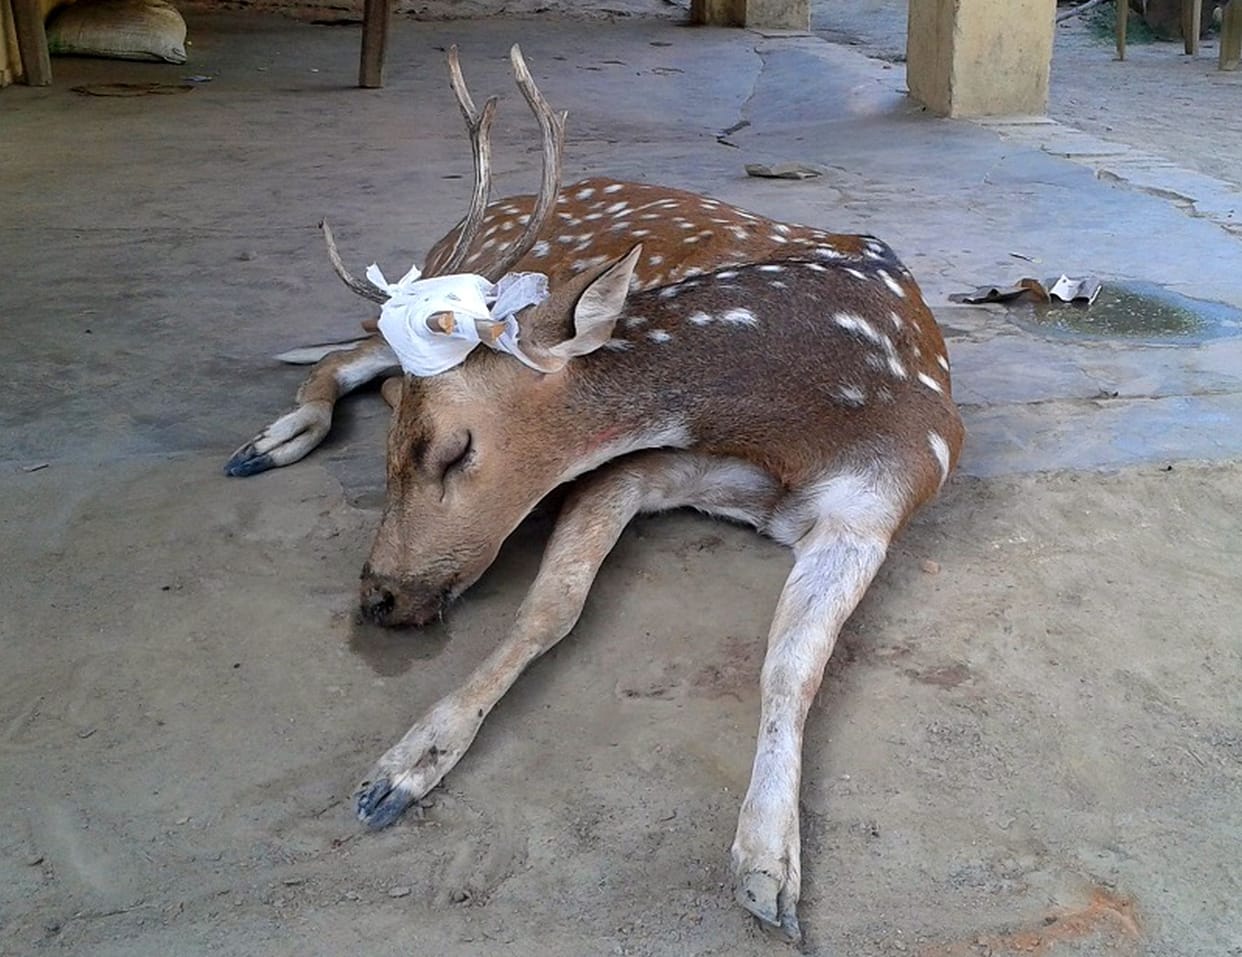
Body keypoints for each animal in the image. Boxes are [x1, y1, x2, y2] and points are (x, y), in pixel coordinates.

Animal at [229, 46, 964, 943]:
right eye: (401, 441)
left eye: (453, 446)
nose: (380, 596)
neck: (792, 421)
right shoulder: (631, 464)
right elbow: (551, 607)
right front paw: (404, 766)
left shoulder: (883, 499)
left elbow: (793, 665)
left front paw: (767, 866)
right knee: (349, 351)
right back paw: (273, 439)